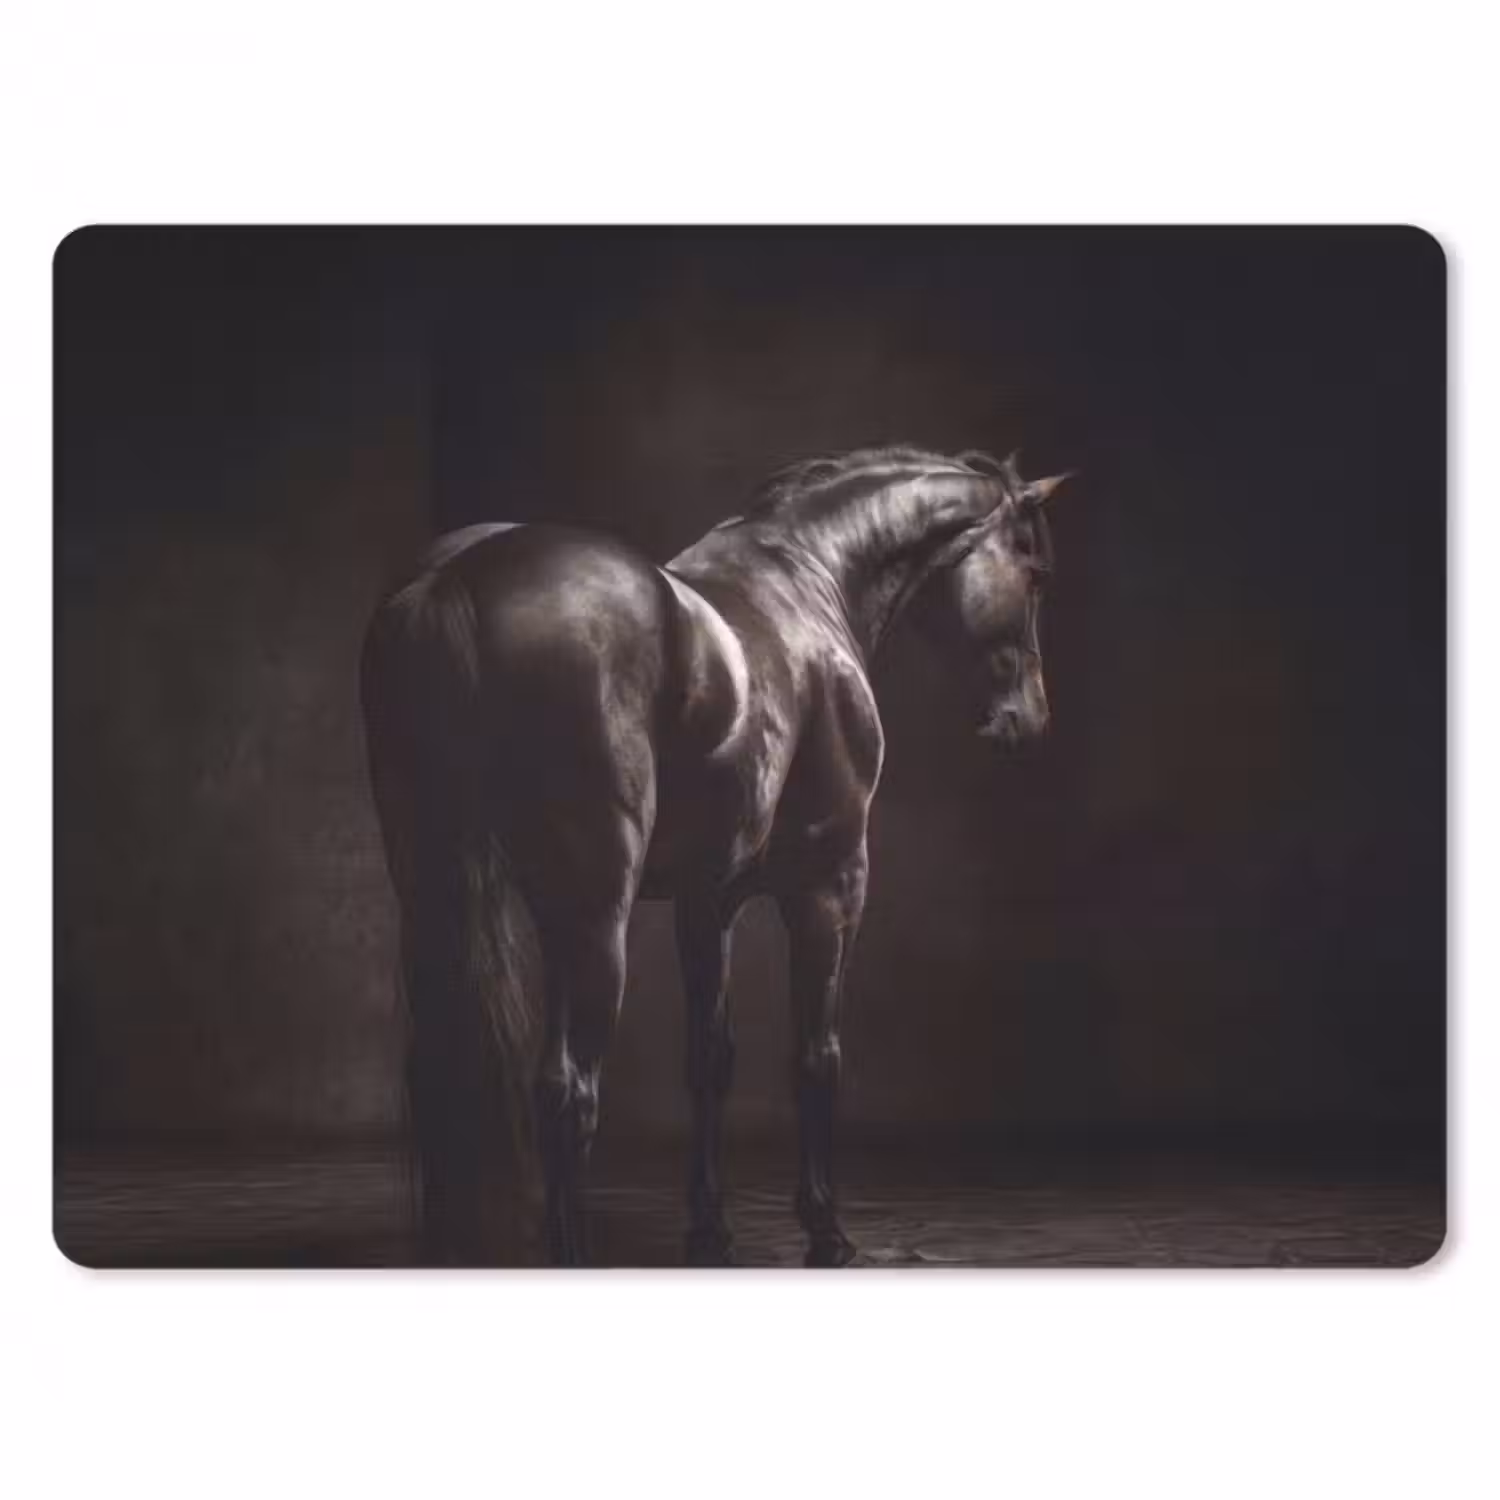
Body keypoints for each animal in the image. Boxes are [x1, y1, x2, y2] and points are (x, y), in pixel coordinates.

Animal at [360, 445, 1069, 1266]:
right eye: (1034, 570)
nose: (1028, 719)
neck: (807, 574)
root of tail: (459, 576)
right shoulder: (830, 884)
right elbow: (815, 1054)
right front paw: (824, 1226)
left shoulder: (708, 900)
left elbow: (710, 1061)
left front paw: (710, 1228)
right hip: (592, 915)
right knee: (569, 1090)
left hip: (453, 893)